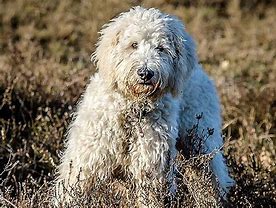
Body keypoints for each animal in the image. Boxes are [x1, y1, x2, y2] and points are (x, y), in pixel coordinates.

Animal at [55, 6, 235, 205]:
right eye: (133, 44)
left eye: (161, 48)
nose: (145, 73)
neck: (132, 108)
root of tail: (200, 69)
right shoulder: (86, 160)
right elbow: (72, 190)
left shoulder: (150, 164)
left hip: (201, 141)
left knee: (213, 176)